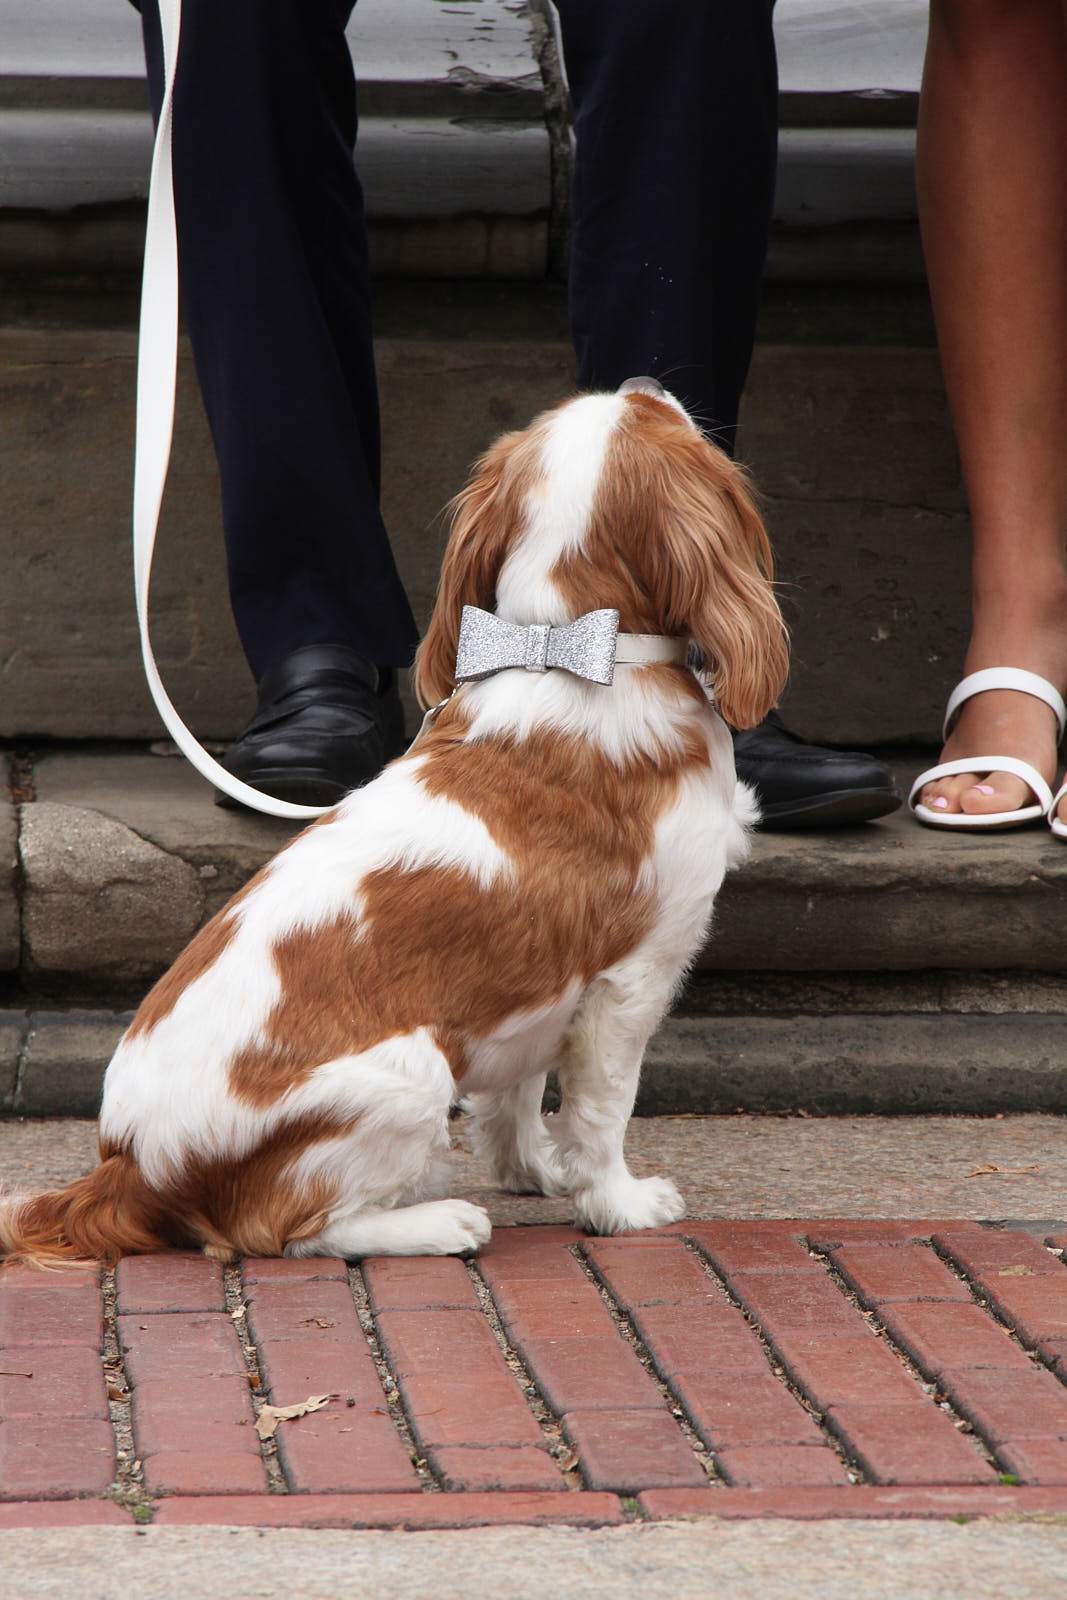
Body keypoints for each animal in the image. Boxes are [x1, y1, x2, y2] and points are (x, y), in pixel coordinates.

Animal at [0, 380, 783, 1267]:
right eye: (650, 418)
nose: (641, 384)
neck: (569, 640)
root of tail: (129, 1166)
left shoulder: (535, 973)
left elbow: (516, 1095)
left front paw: (532, 1172)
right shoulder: (632, 979)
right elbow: (602, 1109)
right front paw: (617, 1203)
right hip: (409, 1074)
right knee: (291, 1233)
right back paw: (439, 1223)